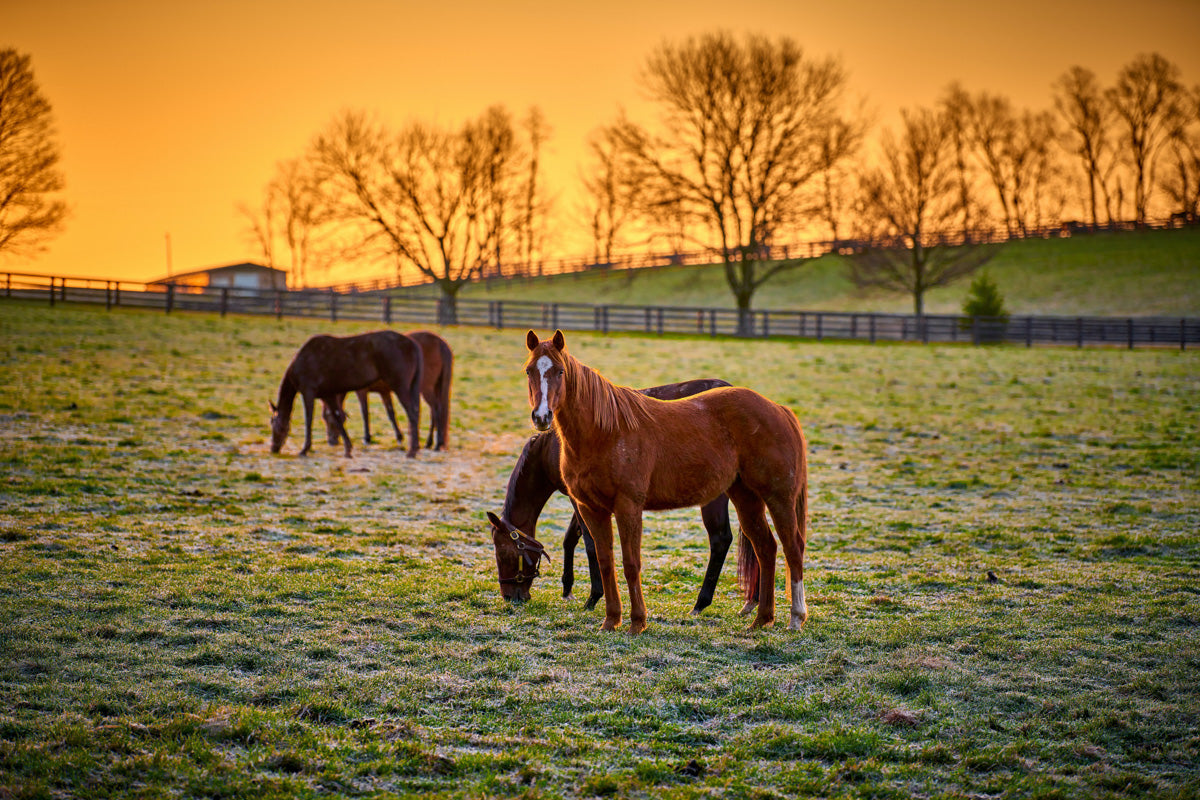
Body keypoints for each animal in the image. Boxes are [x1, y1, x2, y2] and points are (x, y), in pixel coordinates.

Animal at [270, 331, 424, 455]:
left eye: (273, 424)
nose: (273, 448)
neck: (301, 362)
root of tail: (412, 344)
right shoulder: (328, 395)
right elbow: (337, 417)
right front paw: (348, 447)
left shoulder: (308, 392)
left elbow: (309, 420)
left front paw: (305, 449)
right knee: (415, 413)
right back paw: (414, 447)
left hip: (400, 387)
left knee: (412, 414)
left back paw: (411, 451)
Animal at [321, 326, 451, 450]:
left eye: (328, 419)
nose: (331, 442)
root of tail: (439, 342)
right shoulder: (384, 392)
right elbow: (391, 413)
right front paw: (399, 437)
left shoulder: (361, 391)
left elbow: (365, 412)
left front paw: (367, 438)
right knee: (434, 412)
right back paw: (429, 443)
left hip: (426, 389)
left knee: (436, 409)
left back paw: (437, 444)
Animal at [487, 379, 758, 609]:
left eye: (503, 553)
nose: (510, 596)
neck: (550, 448)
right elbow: (570, 539)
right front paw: (568, 588)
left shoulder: (580, 499)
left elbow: (590, 544)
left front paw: (594, 597)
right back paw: (753, 601)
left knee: (721, 539)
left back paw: (702, 602)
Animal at [523, 328, 811, 633]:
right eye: (529, 370)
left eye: (560, 371)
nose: (541, 416)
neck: (605, 431)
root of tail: (777, 409)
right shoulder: (591, 509)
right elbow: (605, 561)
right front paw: (611, 620)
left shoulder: (628, 507)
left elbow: (631, 563)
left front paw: (637, 622)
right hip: (746, 497)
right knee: (766, 548)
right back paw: (762, 618)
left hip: (778, 497)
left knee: (793, 548)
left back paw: (795, 618)